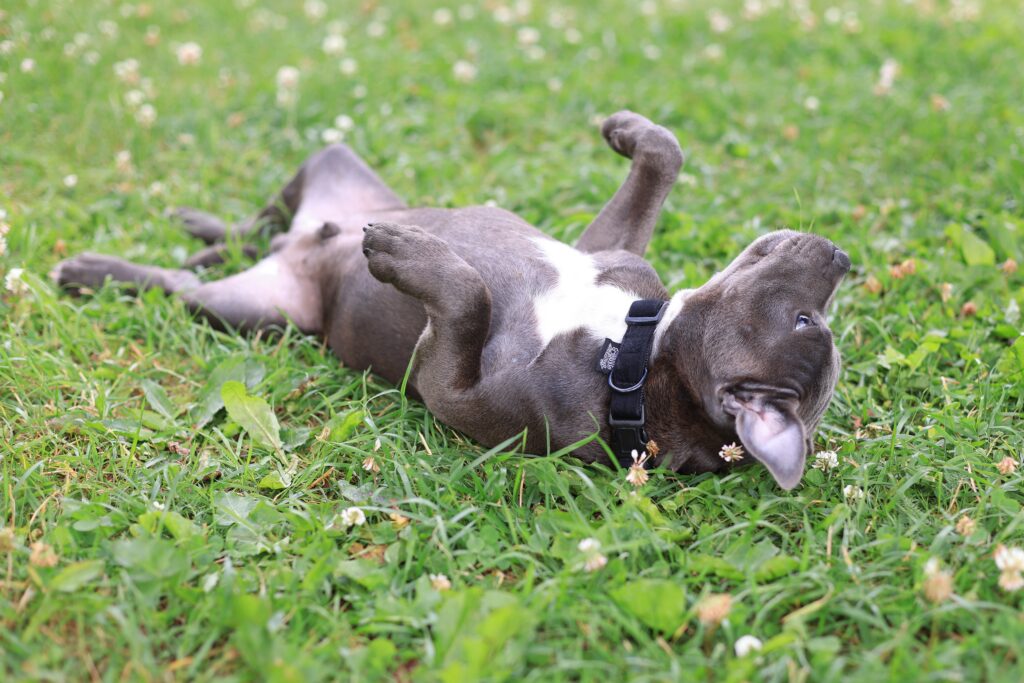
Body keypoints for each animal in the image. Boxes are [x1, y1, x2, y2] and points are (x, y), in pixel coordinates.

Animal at [54, 109, 847, 489]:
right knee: (257, 227)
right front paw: (628, 131)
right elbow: (663, 157)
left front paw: (403, 254)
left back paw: (94, 270)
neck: (628, 347)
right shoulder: (605, 248)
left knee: (186, 285)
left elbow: (467, 294)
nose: (842, 257)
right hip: (331, 165)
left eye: (806, 318)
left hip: (249, 310)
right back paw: (202, 230)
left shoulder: (448, 380)